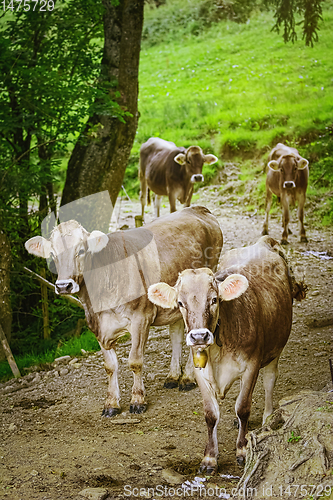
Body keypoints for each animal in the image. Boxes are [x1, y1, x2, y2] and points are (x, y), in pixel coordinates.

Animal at [24, 205, 222, 416]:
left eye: (81, 250)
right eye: (52, 254)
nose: (63, 286)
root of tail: (197, 209)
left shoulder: (141, 319)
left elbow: (135, 361)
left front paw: (138, 400)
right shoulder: (97, 326)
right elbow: (110, 366)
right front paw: (111, 403)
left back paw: (187, 378)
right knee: (176, 335)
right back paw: (173, 376)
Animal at [148, 237, 306, 472]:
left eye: (214, 299)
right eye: (180, 303)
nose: (199, 336)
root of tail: (263, 242)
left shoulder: (251, 365)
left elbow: (243, 407)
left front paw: (242, 451)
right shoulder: (200, 373)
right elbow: (211, 414)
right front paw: (209, 458)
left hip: (276, 347)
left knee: (269, 380)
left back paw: (268, 417)